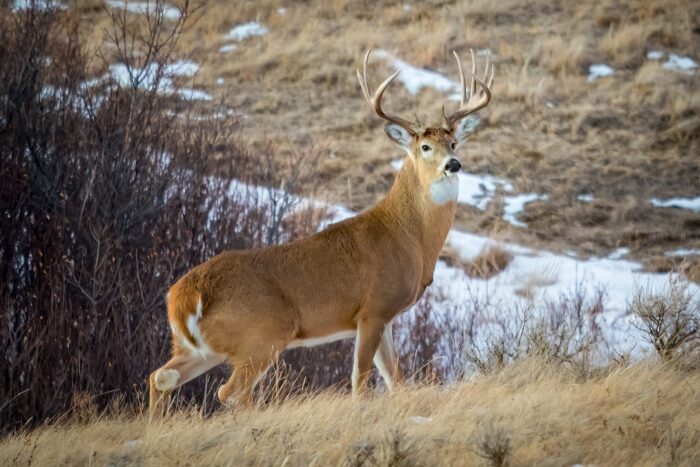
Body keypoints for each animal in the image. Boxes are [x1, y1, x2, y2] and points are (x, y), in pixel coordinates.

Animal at [150, 48, 494, 416]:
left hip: (200, 347)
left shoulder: (386, 317)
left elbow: (395, 379)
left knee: (161, 377)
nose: (453, 164)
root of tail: (183, 296)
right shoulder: (373, 308)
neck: (408, 237)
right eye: (426, 147)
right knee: (230, 392)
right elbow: (361, 379)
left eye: (454, 142)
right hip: (263, 334)